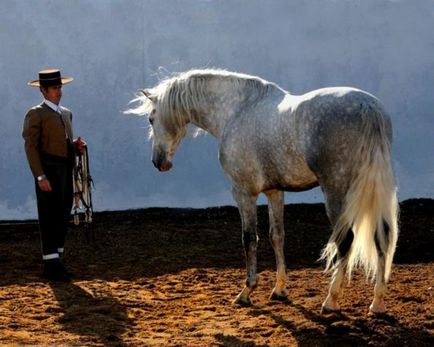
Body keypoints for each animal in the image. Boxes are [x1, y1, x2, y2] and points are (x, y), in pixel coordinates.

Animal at [125, 69, 396, 314]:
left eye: (151, 118)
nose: (158, 162)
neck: (235, 111)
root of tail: (368, 108)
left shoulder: (244, 192)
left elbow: (249, 238)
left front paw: (246, 292)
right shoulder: (275, 191)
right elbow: (277, 236)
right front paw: (279, 290)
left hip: (336, 191)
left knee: (345, 241)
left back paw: (331, 300)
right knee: (382, 236)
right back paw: (378, 303)